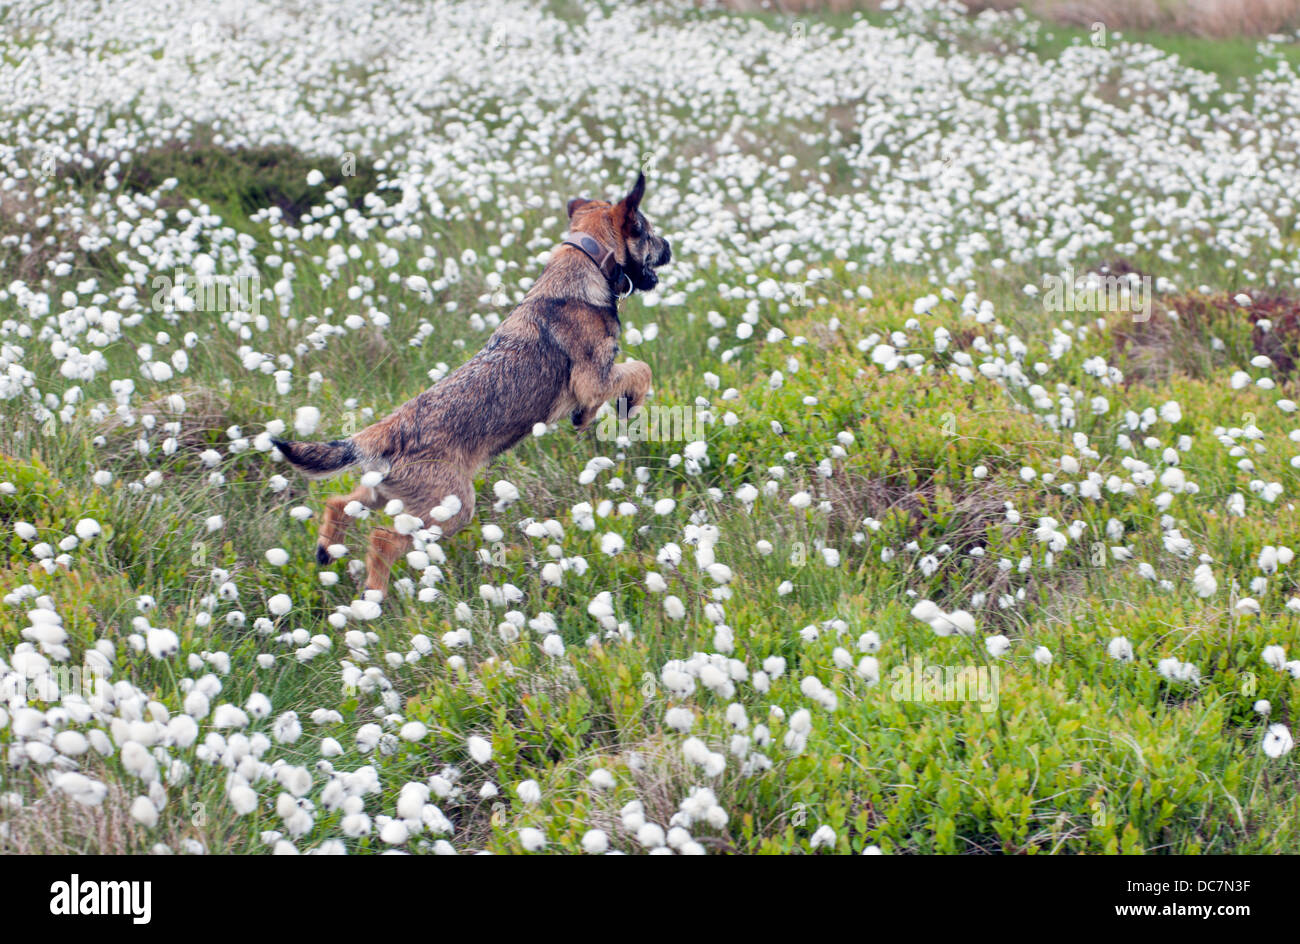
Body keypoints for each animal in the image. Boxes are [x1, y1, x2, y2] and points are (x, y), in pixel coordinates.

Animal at [278, 171, 676, 592]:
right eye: (647, 231)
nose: (669, 247)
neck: (588, 262)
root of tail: (375, 434)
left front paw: (589, 416)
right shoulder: (593, 379)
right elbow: (640, 369)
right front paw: (629, 403)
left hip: (385, 492)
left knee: (339, 503)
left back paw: (327, 551)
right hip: (450, 508)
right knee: (382, 539)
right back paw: (374, 596)